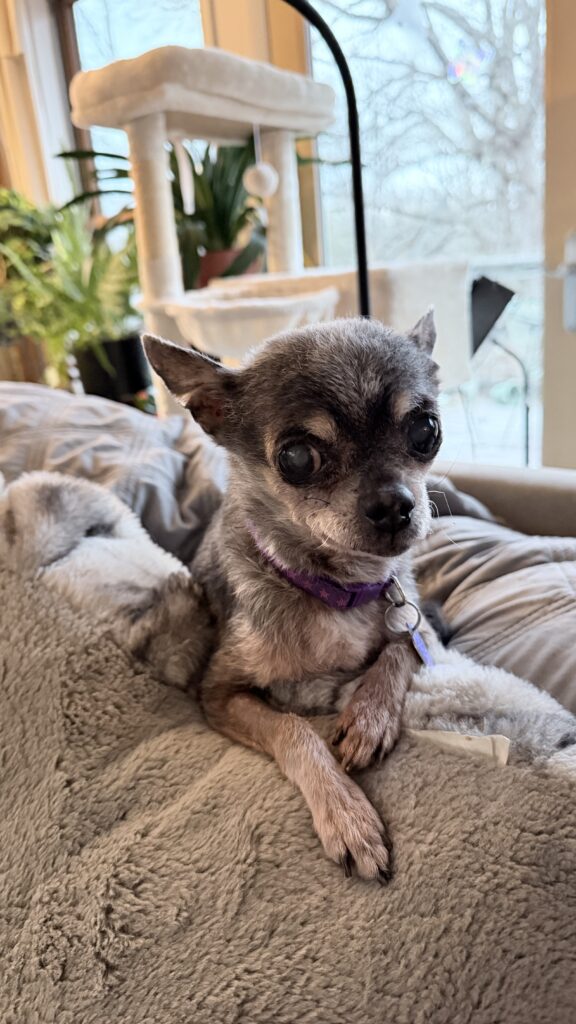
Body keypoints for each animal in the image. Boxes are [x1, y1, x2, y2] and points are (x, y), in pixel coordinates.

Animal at [143, 313, 445, 882]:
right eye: (297, 458)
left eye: (426, 431)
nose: (395, 504)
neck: (335, 589)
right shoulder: (218, 694)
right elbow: (293, 729)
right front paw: (346, 815)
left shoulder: (424, 624)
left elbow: (398, 648)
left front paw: (368, 719)